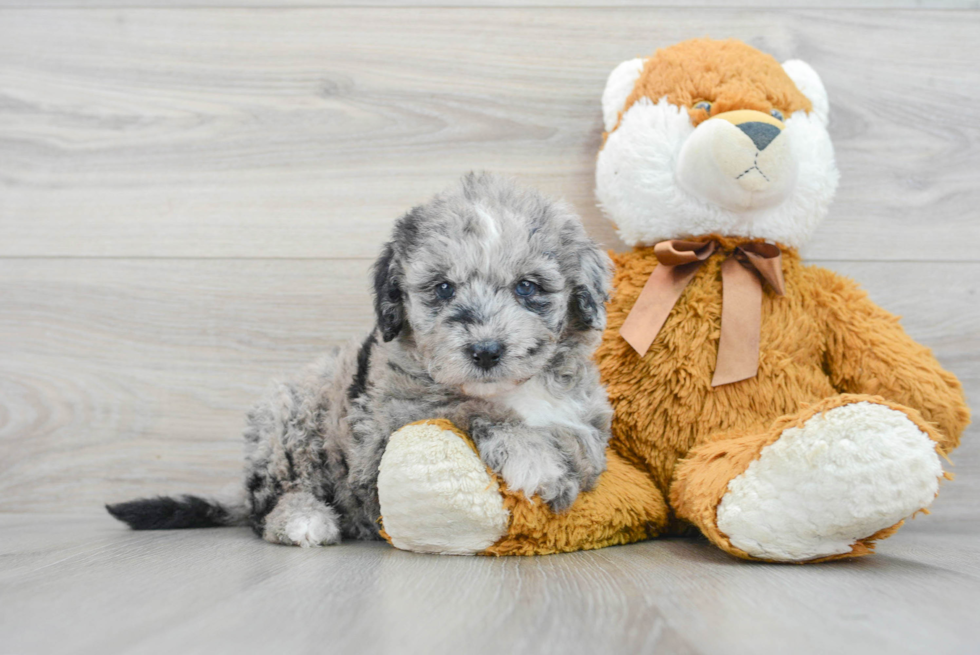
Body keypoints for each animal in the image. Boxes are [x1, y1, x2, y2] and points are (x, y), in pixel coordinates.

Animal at [109, 174, 612, 548]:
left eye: (527, 287)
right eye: (442, 288)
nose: (486, 351)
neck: (513, 391)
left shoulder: (588, 418)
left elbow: (580, 447)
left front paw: (558, 468)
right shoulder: (384, 437)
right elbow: (466, 408)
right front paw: (534, 458)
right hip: (287, 419)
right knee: (273, 501)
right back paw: (304, 520)